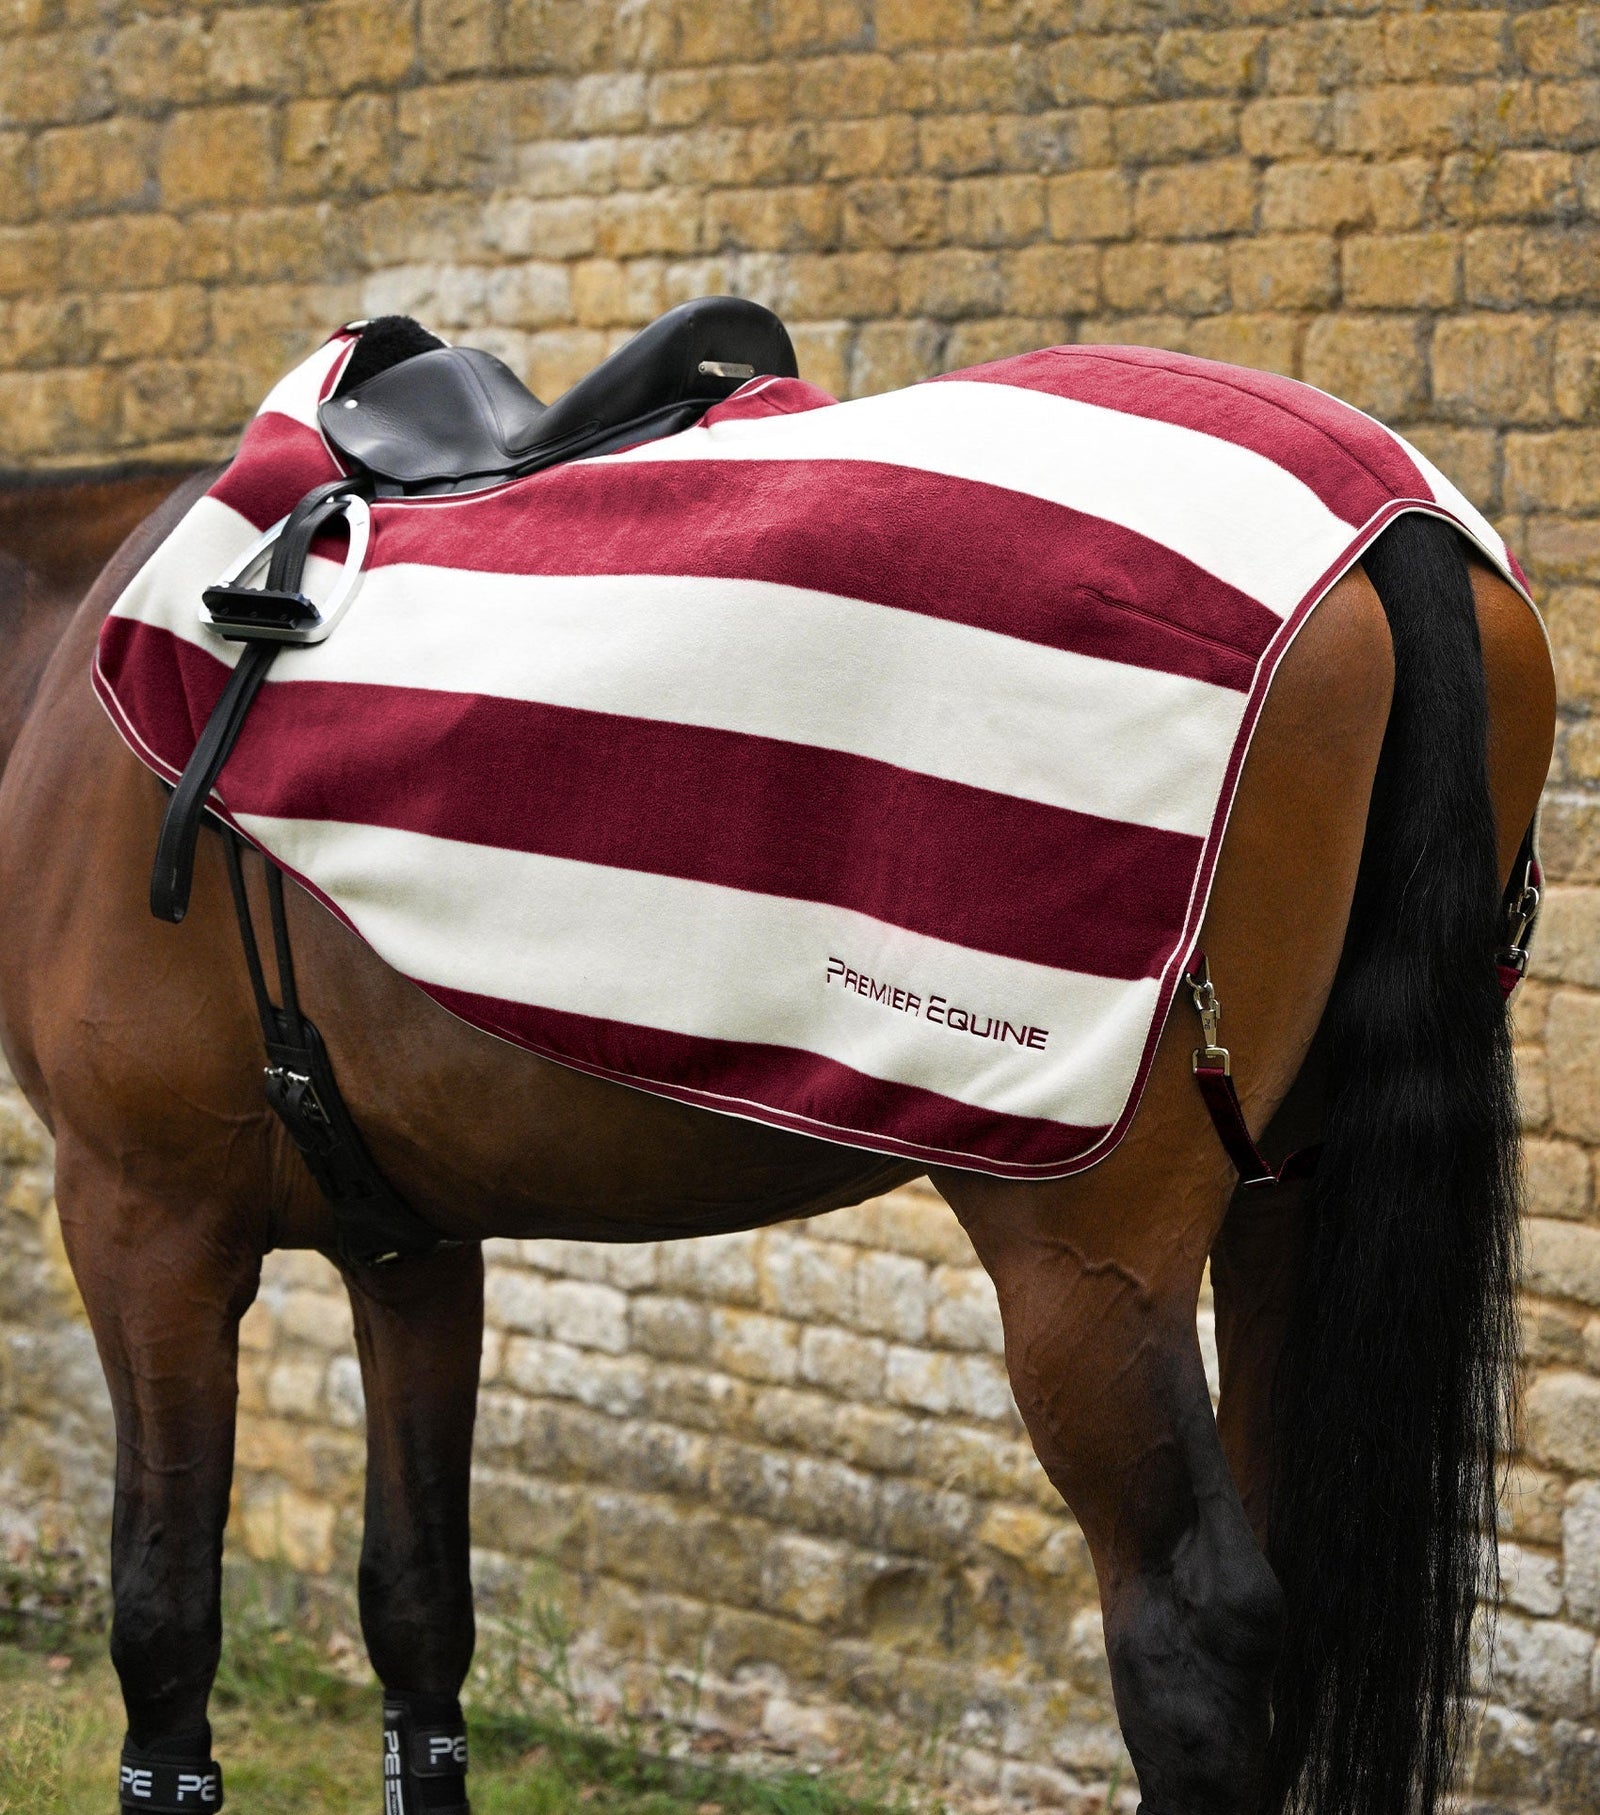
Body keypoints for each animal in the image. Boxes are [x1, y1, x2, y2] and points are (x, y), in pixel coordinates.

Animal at [0, 337, 1556, 1815]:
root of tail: (1390, 522)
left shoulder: (142, 1219)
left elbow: (163, 1618)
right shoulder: (412, 1244)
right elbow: (418, 1609)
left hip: (1089, 1264)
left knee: (1197, 1631)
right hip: (1286, 1206)